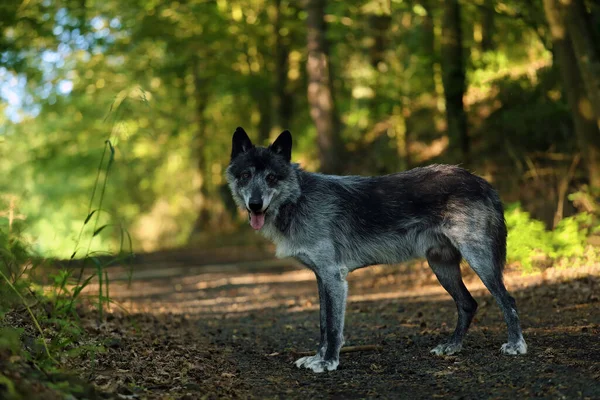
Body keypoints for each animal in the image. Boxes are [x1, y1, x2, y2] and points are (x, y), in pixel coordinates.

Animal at [225, 127, 524, 372]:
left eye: (271, 177)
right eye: (245, 175)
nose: (254, 204)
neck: (299, 199)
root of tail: (481, 182)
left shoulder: (334, 278)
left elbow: (333, 327)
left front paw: (329, 362)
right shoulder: (322, 278)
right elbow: (322, 324)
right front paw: (317, 357)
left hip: (479, 261)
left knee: (507, 300)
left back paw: (516, 345)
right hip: (441, 267)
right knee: (468, 304)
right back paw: (451, 346)